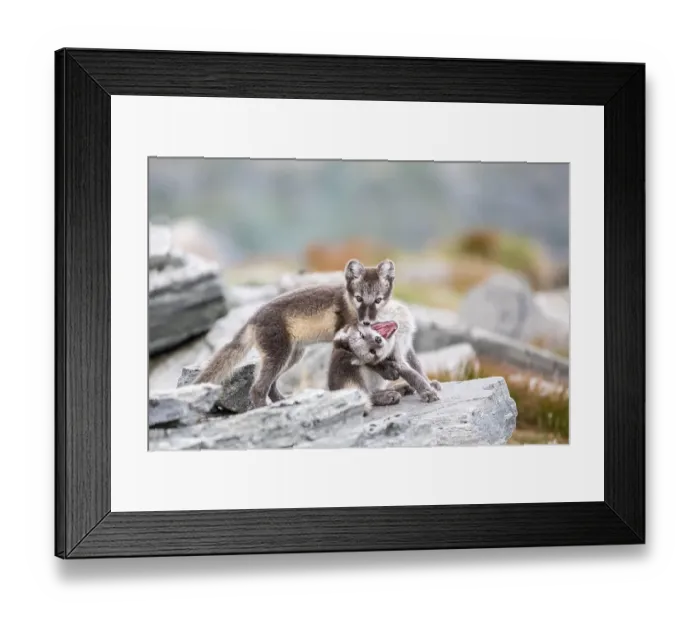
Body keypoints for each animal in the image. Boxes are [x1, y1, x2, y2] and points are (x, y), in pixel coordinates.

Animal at [193, 258, 398, 408]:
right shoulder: (344, 337)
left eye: (378, 300)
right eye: (359, 298)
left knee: (271, 385)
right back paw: (264, 409)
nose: (366, 321)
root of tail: (253, 318)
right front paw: (387, 370)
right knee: (258, 389)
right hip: (279, 354)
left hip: (293, 356)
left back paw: (282, 401)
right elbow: (366, 358)